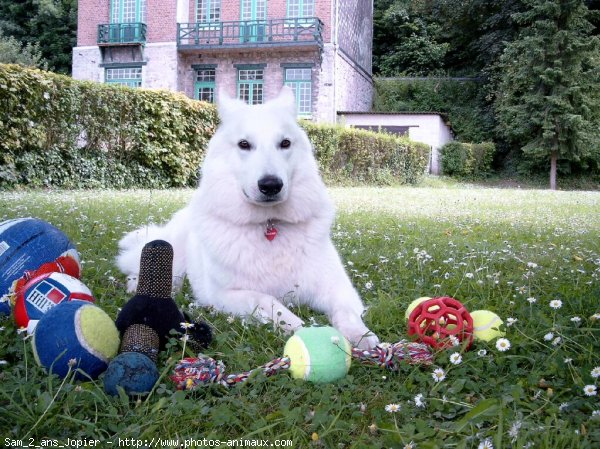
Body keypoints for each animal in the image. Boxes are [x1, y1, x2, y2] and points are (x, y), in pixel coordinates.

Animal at [116, 86, 380, 346]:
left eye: (285, 143)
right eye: (244, 144)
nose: (271, 185)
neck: (268, 225)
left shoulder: (337, 287)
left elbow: (346, 312)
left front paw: (360, 336)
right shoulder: (223, 295)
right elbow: (268, 301)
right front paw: (299, 328)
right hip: (170, 252)